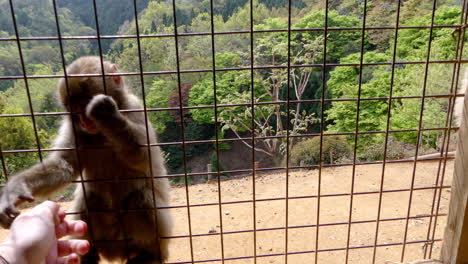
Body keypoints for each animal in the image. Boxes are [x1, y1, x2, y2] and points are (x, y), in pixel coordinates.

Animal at [0, 56, 172, 264]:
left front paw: (107, 114)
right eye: (75, 109)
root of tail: (116, 252)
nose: (83, 120)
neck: (101, 134)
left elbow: (144, 156)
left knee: (141, 198)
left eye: (84, 106)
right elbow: (64, 166)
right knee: (90, 198)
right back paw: (88, 254)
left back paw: (150, 253)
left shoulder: (134, 108)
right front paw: (15, 188)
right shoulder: (74, 129)